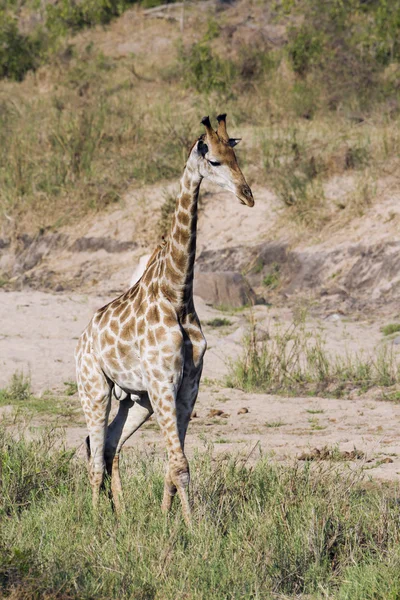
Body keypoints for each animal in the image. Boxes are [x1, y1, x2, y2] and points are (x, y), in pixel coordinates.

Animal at [75, 113, 255, 524]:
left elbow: (173, 465)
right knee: (94, 454)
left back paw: (120, 516)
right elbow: (180, 465)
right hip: (95, 388)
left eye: (236, 156)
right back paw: (94, 519)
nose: (248, 196)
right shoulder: (162, 382)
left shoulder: (187, 385)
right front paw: (192, 530)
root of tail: (83, 339)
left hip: (135, 400)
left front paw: (168, 520)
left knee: (108, 445)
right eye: (214, 161)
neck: (177, 296)